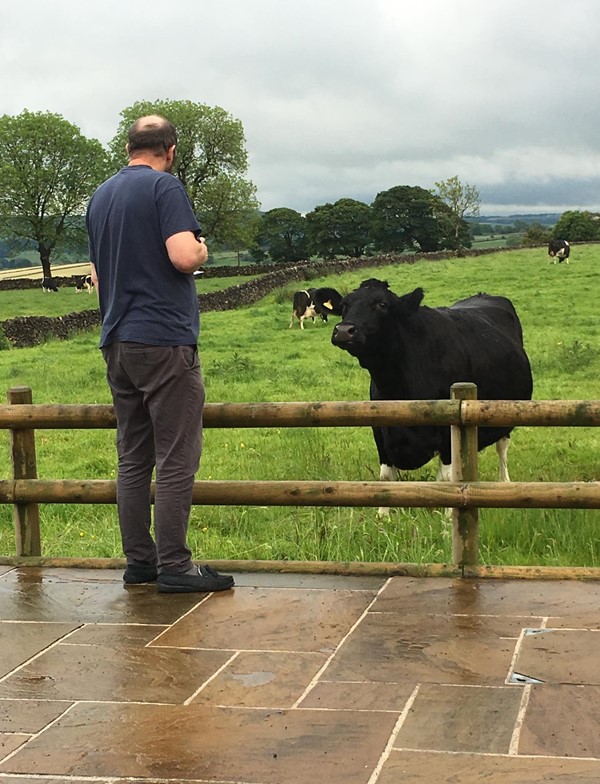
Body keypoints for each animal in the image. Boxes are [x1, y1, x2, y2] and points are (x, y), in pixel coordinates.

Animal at [328, 280, 536, 516]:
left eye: (382, 304)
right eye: (344, 305)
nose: (344, 330)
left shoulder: (448, 431)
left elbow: (446, 478)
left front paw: (448, 516)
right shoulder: (379, 429)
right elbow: (385, 476)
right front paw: (382, 515)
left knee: (502, 448)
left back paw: (504, 482)